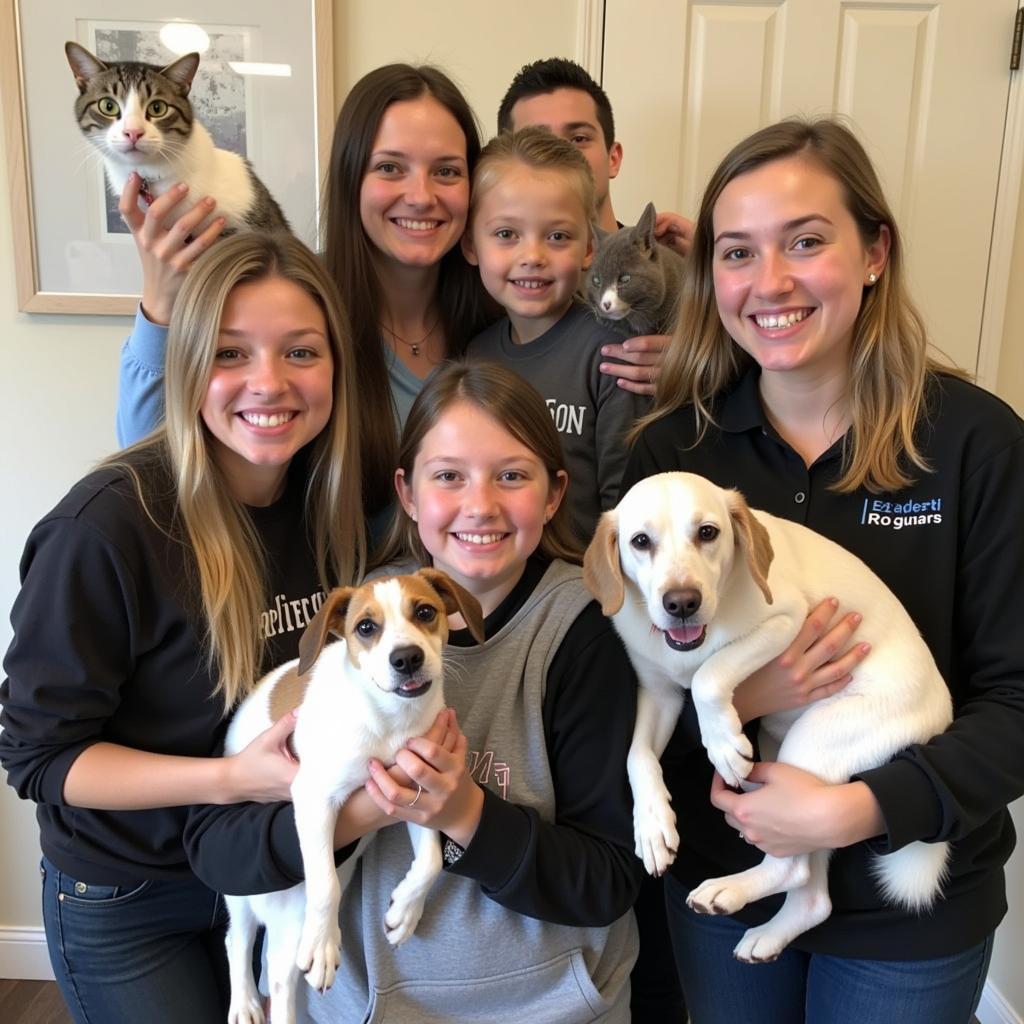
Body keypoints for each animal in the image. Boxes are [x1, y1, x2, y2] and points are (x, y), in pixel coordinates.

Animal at [221, 569, 483, 1024]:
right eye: (365, 627)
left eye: (425, 612)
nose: (407, 658)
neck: (390, 720)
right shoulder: (313, 796)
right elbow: (326, 884)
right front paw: (325, 949)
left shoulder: (419, 792)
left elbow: (431, 861)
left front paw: (405, 911)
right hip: (246, 890)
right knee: (240, 941)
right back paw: (246, 1001)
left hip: (292, 921)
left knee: (278, 971)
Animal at [585, 468, 950, 958]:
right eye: (640, 541)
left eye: (707, 533)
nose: (681, 603)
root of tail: (941, 710)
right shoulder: (657, 694)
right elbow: (636, 757)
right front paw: (652, 825)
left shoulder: (786, 622)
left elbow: (708, 676)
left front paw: (722, 745)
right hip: (789, 758)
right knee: (812, 890)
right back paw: (772, 931)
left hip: (813, 744)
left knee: (791, 865)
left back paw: (728, 889)